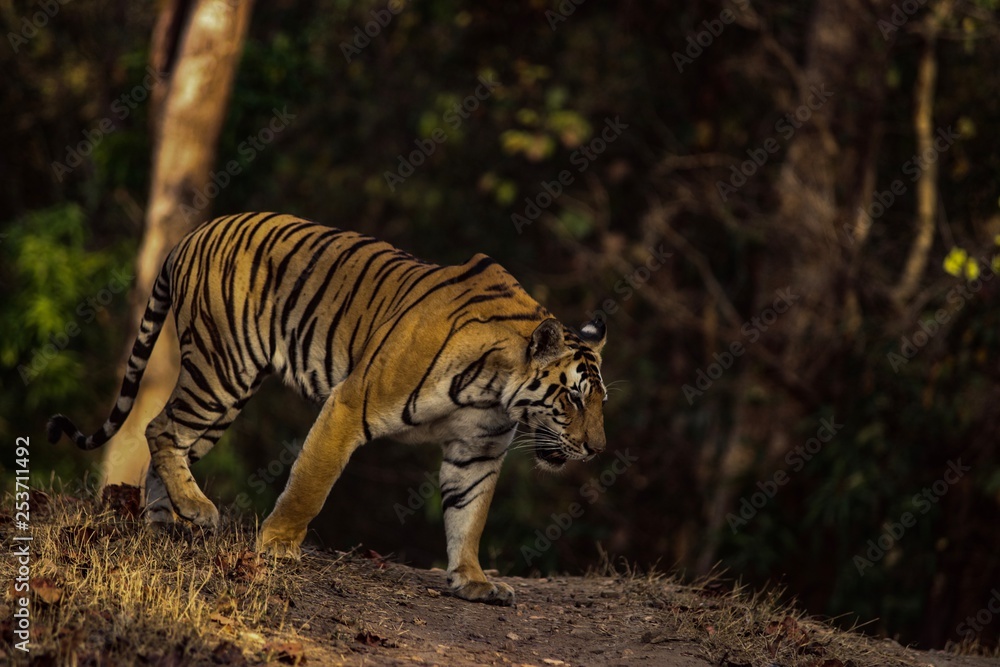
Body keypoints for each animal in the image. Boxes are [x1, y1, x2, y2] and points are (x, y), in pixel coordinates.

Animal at [48, 212, 608, 605]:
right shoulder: (351, 404)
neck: (496, 389)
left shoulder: (477, 450)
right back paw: (197, 510)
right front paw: (277, 546)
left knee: (171, 442)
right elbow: (310, 485)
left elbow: (469, 516)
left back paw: (166, 521)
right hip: (220, 370)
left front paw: (473, 581)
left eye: (601, 400)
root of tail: (193, 234)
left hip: (224, 393)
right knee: (160, 427)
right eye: (575, 396)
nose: (597, 449)